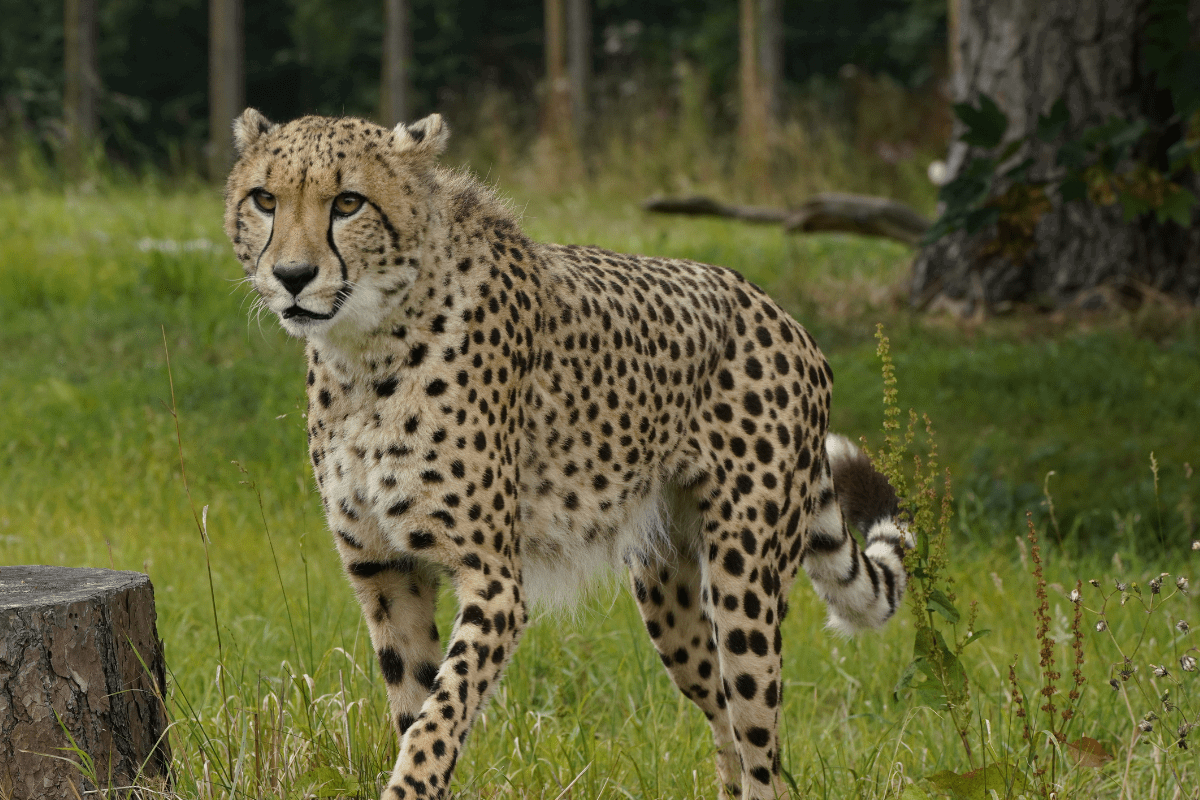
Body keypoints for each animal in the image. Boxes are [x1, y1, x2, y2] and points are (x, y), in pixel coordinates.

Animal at [223, 108, 909, 800]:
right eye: (264, 200)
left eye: (348, 203)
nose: (291, 277)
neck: (363, 353)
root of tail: (782, 316)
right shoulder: (384, 571)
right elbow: (414, 705)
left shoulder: (494, 581)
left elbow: (437, 721)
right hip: (667, 589)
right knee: (722, 717)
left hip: (744, 580)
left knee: (760, 742)